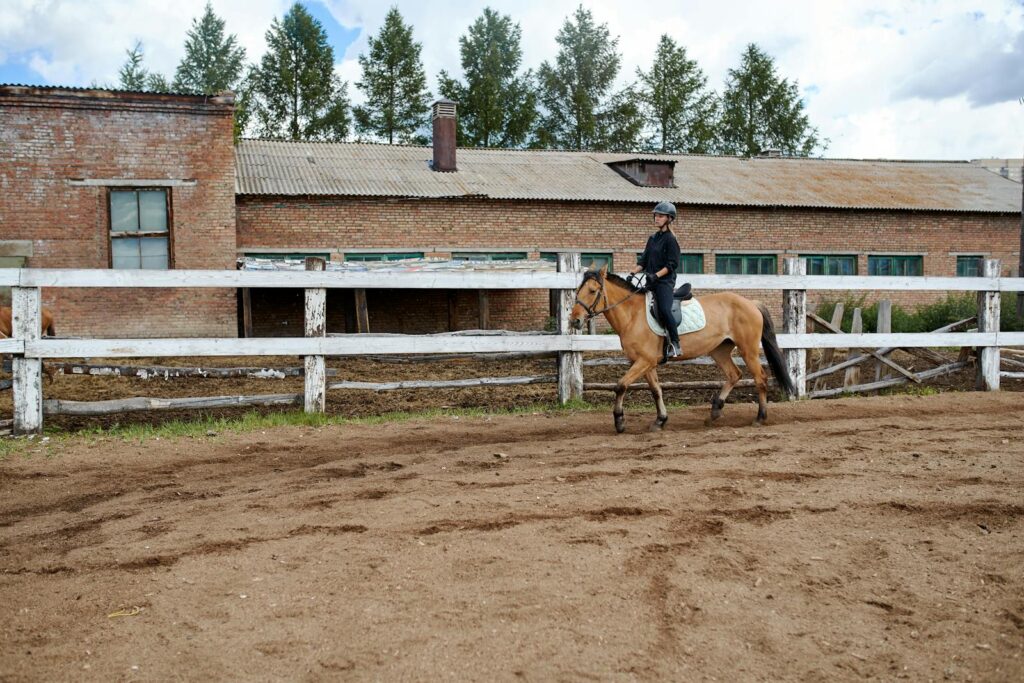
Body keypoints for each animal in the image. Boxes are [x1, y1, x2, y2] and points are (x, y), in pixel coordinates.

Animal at [569, 267, 795, 433]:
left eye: (592, 291)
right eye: (577, 291)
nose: (575, 321)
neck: (632, 315)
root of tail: (751, 302)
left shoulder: (643, 361)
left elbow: (620, 386)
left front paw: (619, 421)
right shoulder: (646, 363)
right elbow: (656, 390)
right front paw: (660, 420)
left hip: (748, 350)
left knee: (760, 378)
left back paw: (759, 417)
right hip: (719, 350)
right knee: (734, 374)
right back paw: (715, 412)